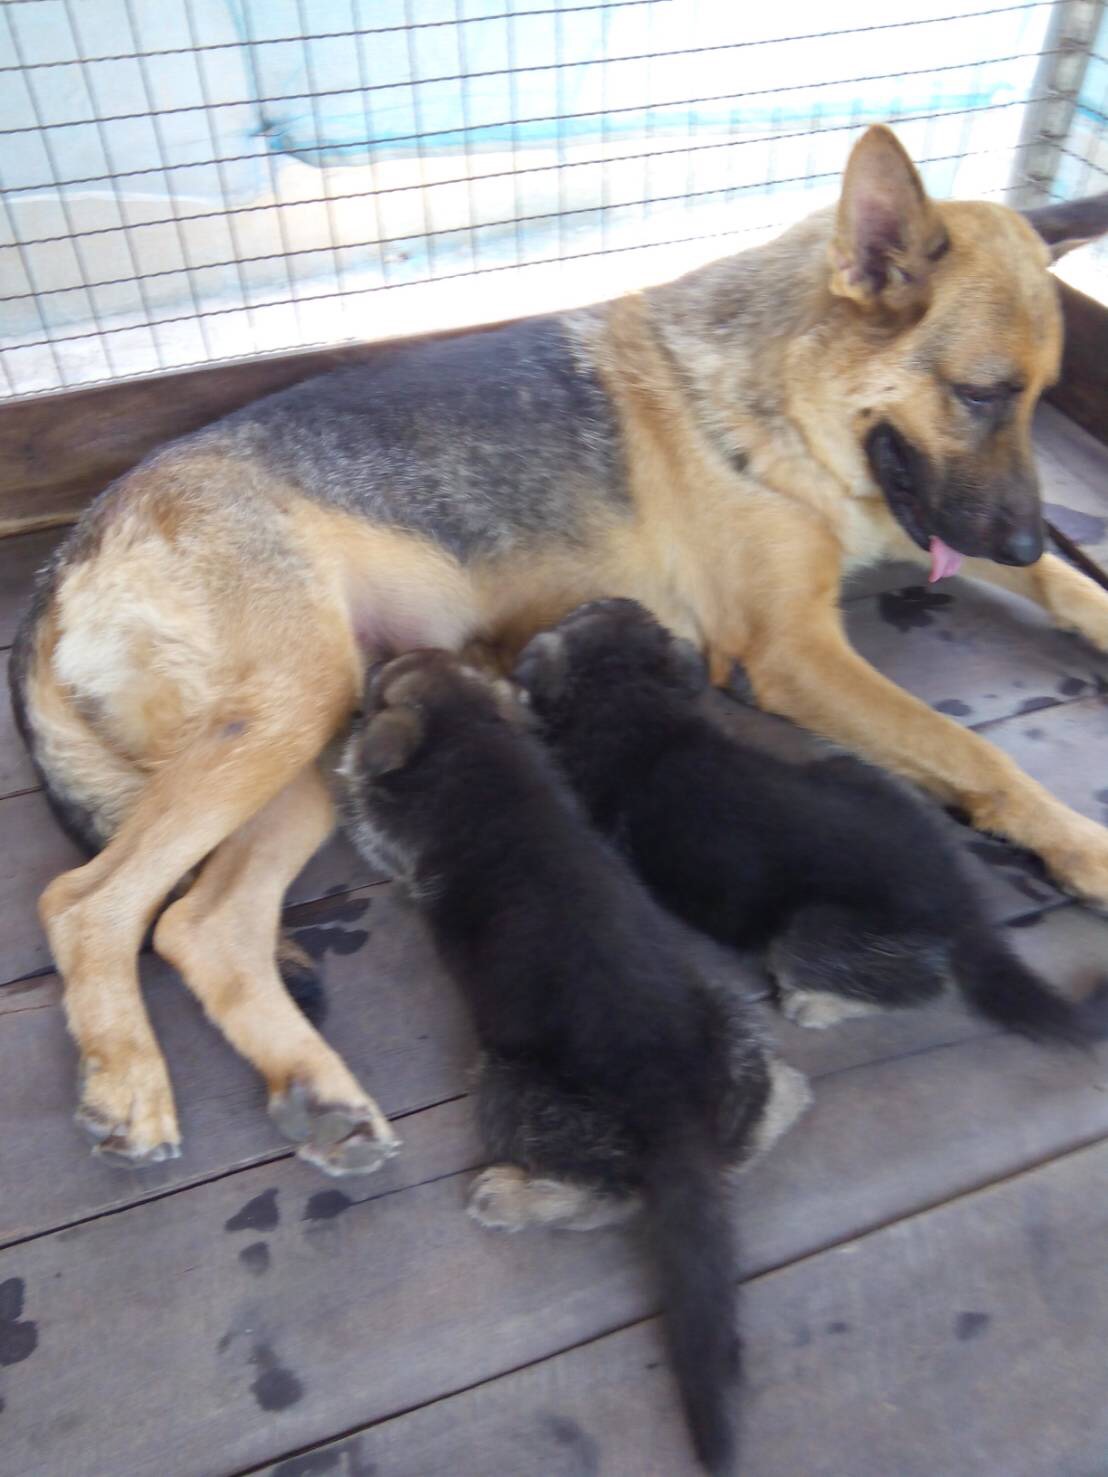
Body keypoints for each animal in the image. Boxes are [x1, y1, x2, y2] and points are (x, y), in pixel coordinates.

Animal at [337, 649, 810, 1475]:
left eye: (379, 682)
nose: (368, 665)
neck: (473, 736)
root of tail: (674, 1104)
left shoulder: (385, 832)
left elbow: (361, 794)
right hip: (731, 1022)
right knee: (746, 1134)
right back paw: (790, 1092)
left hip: (509, 1086)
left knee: (608, 1197)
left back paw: (510, 1196)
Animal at [514, 599, 1108, 1044]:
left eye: (586, 607)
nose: (621, 597)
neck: (633, 705)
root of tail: (964, 909)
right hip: (849, 770)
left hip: (811, 929)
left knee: (920, 988)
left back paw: (817, 1004)